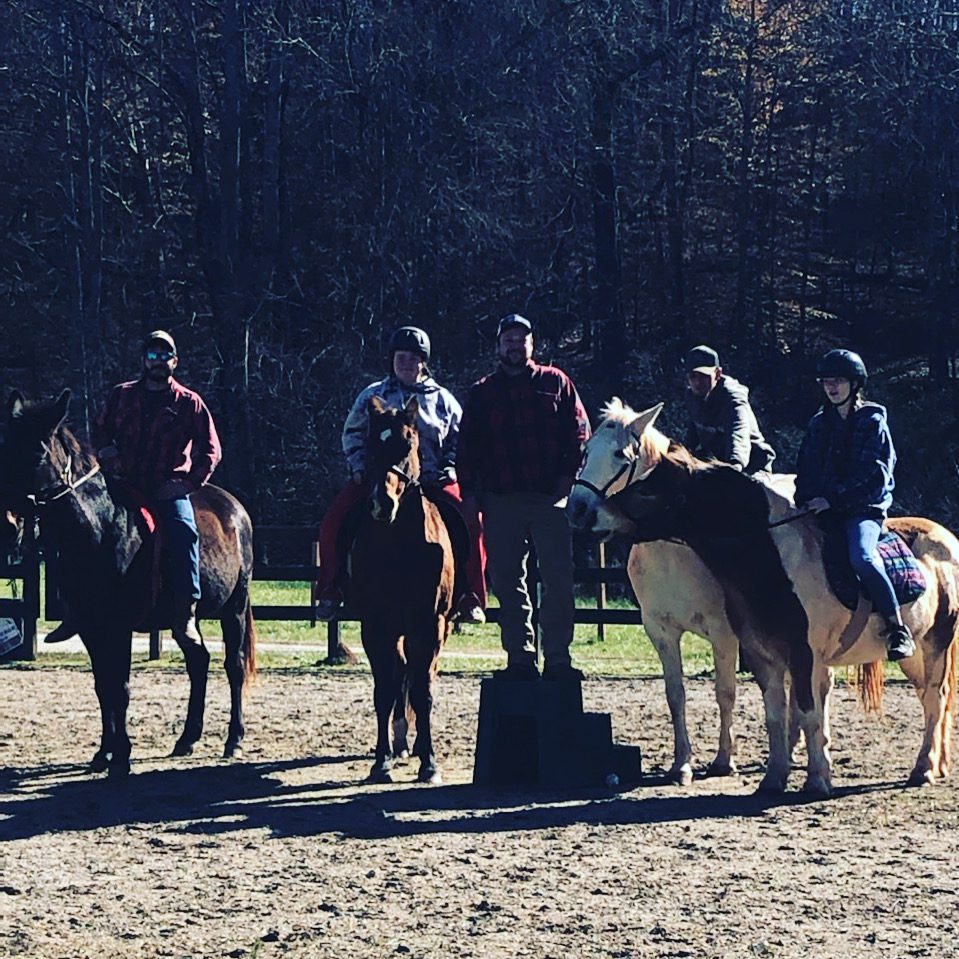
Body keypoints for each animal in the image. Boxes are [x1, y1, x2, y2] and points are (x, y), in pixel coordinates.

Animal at [0, 390, 257, 777]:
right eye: (6, 450)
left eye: (37, 454)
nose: (8, 523)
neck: (102, 528)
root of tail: (235, 510)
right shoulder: (91, 628)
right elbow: (102, 686)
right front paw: (103, 753)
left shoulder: (118, 626)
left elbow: (119, 687)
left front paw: (121, 757)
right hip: (188, 618)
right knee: (198, 661)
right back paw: (187, 739)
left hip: (235, 609)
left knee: (234, 666)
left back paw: (234, 739)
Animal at [346, 395, 455, 784]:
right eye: (371, 444)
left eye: (408, 444)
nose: (382, 504)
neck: (398, 549)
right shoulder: (376, 627)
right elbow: (385, 691)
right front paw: (382, 761)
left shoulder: (430, 625)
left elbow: (423, 691)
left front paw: (430, 764)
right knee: (401, 675)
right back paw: (400, 742)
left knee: (422, 677)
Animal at [567, 398, 958, 796]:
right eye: (586, 450)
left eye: (622, 456)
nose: (581, 512)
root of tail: (945, 538)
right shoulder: (674, 633)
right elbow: (703, 700)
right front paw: (695, 767)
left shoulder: (742, 637)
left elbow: (744, 696)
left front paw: (754, 767)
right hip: (911, 655)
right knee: (920, 696)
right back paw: (931, 763)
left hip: (934, 644)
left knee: (935, 697)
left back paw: (923, 768)